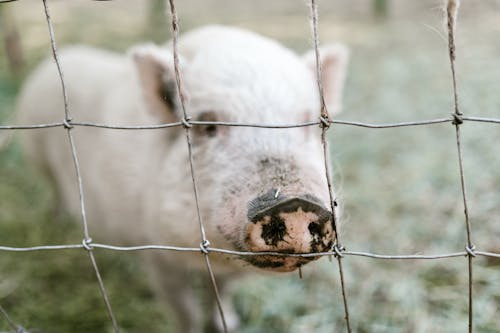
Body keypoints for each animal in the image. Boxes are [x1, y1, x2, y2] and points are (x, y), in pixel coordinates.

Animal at [17, 24, 350, 330]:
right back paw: (58, 220)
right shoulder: (155, 251)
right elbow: (184, 309)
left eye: (308, 125)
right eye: (208, 126)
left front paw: (229, 322)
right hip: (37, 154)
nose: (295, 202)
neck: (206, 257)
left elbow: (222, 294)